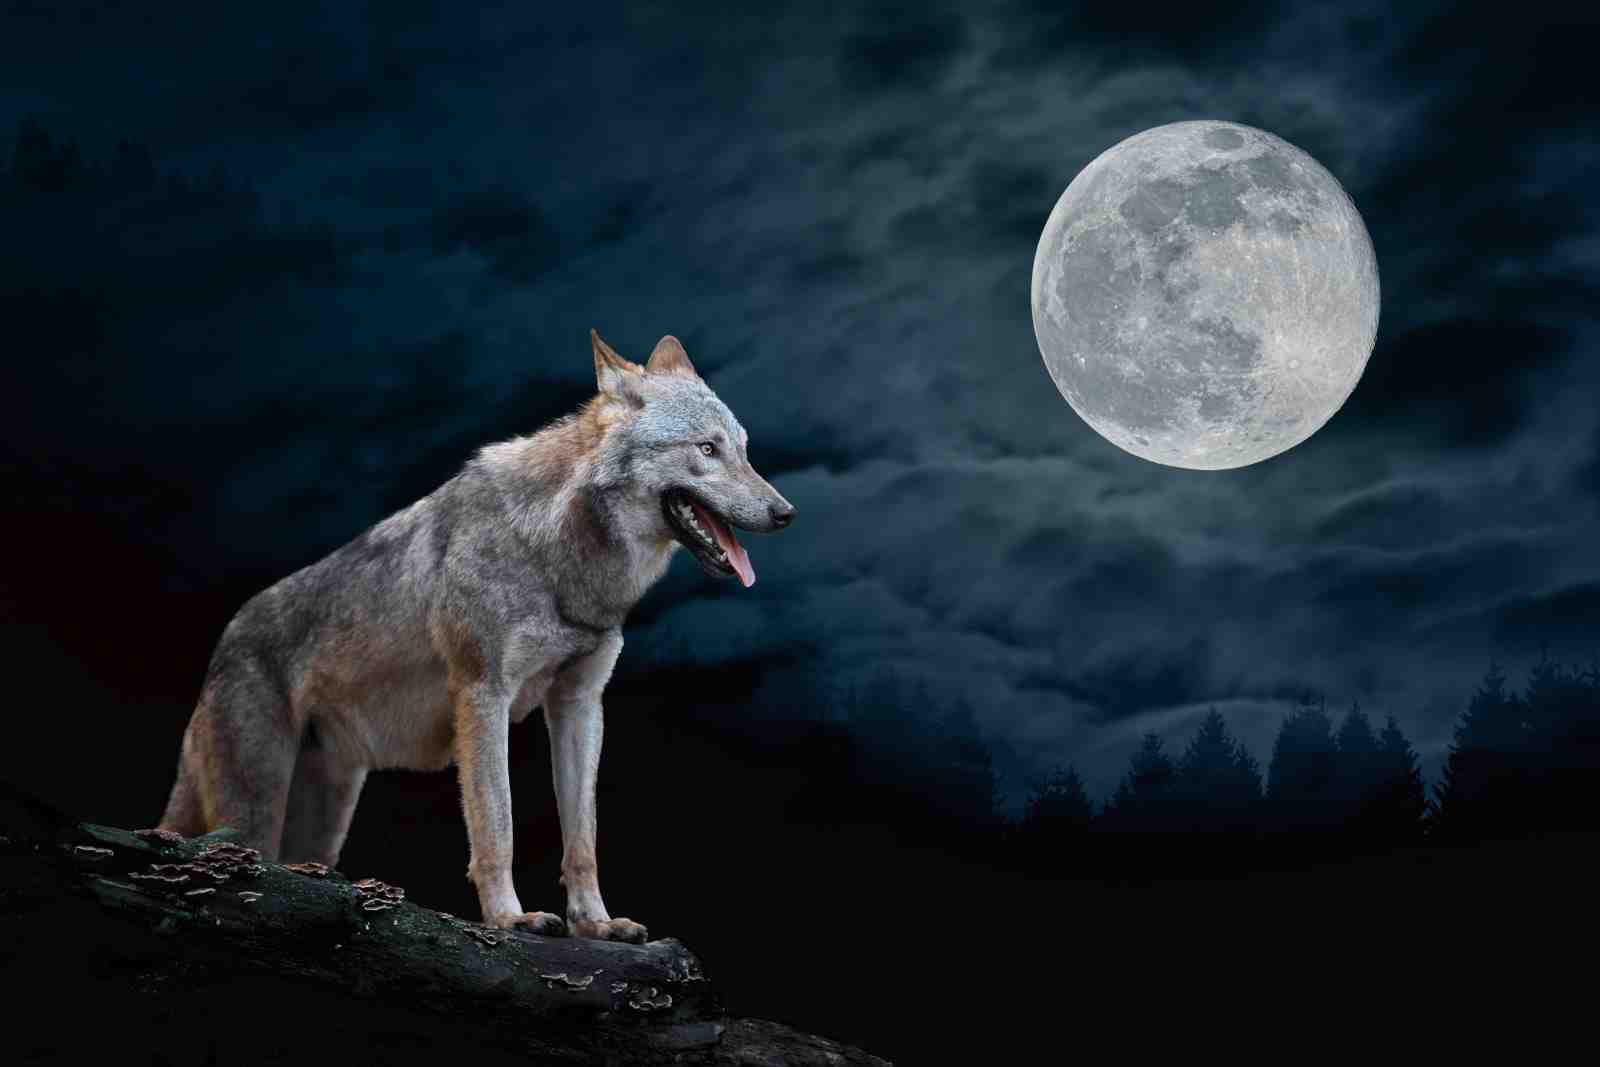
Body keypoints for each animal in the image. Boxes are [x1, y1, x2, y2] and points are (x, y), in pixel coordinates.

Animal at [158, 330, 794, 941]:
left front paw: (595, 924)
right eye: (707, 449)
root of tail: (223, 643)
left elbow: (582, 838)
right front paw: (510, 919)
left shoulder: (580, 704)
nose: (786, 513)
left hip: (320, 823)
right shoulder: (484, 696)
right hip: (255, 815)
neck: (557, 556)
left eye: (743, 450)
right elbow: (498, 826)